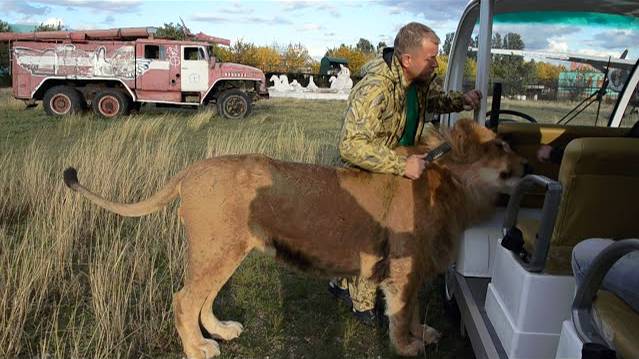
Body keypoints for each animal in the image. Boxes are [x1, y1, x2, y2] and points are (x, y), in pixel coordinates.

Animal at [62, 119, 528, 358]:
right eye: (500, 146)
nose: (527, 165)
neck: (451, 186)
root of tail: (191, 170)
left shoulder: (413, 270)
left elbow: (412, 310)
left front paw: (424, 335)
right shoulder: (402, 267)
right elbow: (400, 313)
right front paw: (407, 346)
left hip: (228, 250)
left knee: (203, 297)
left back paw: (222, 331)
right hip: (217, 250)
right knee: (183, 299)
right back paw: (198, 349)